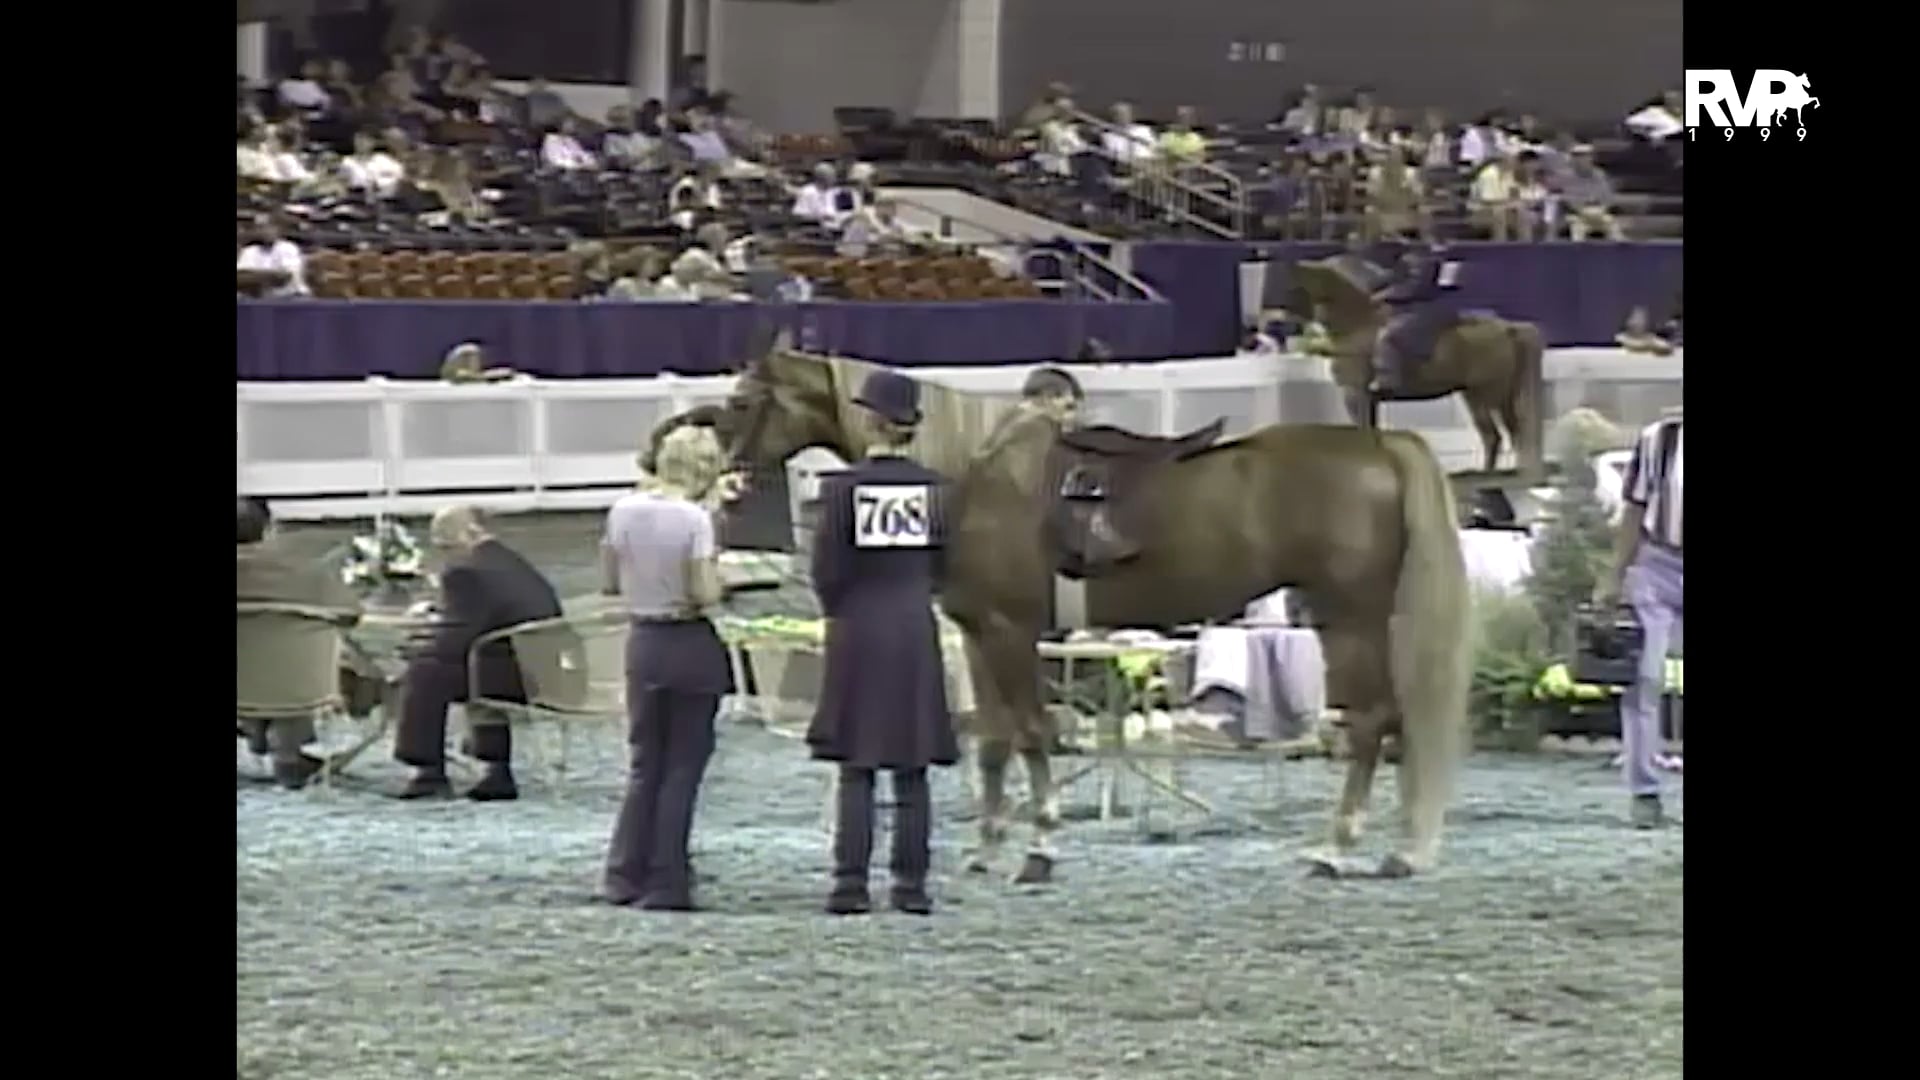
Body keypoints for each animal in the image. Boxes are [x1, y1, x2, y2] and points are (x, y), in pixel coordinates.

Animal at [711, 342, 1475, 881]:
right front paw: (988, 849)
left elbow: (1030, 733)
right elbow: (993, 740)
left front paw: (1040, 847)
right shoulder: (979, 634)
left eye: (745, 400)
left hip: (1348, 619)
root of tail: (1380, 446)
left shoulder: (1011, 632)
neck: (974, 474)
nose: (730, 484)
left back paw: (1337, 849)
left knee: (1371, 723)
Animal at [1284, 258, 1545, 478]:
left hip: (1490, 394)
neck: (1357, 326)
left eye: (1301, 283)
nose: (1288, 324)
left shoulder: (1354, 393)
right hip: (1477, 395)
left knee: (1507, 432)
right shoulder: (1367, 399)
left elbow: (1363, 431)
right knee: (1497, 434)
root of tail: (1508, 328)